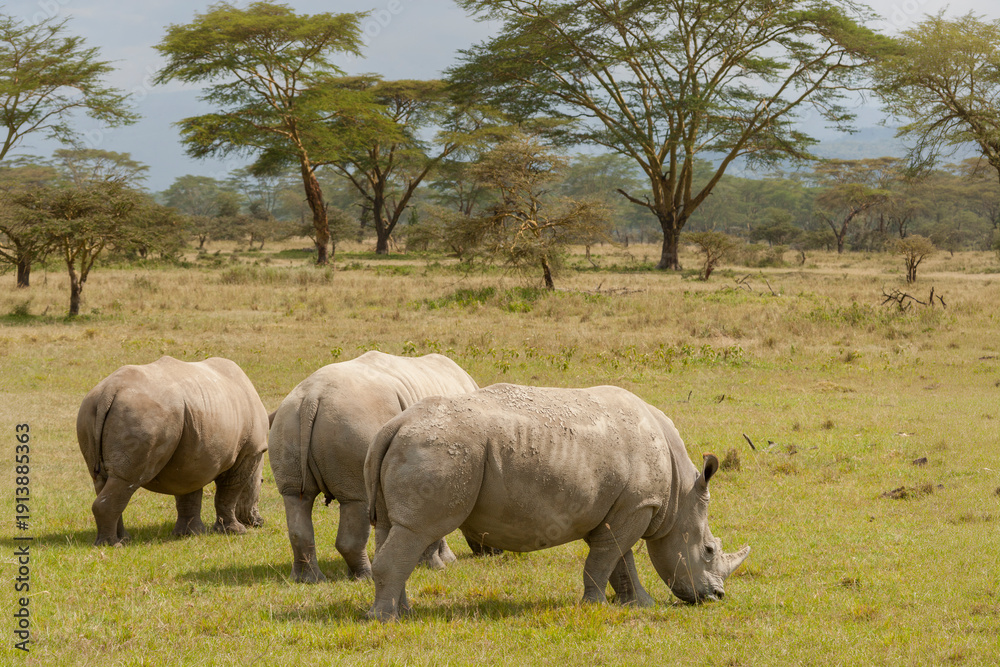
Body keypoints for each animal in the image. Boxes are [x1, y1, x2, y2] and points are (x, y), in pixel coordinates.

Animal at [77, 356, 269, 546]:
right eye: (262, 481)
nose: (259, 522)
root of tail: (108, 391)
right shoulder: (251, 451)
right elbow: (229, 491)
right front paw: (235, 531)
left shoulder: (195, 452)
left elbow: (188, 491)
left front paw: (190, 533)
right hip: (144, 416)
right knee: (126, 479)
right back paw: (112, 545)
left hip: (90, 409)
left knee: (102, 479)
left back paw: (123, 539)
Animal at [268, 351, 482, 583]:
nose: (486, 551)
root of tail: (312, 397)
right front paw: (444, 562)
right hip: (352, 422)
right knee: (357, 498)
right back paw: (366, 576)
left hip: (288, 421)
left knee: (297, 498)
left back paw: (309, 580)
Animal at [365, 383, 750, 620]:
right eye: (709, 551)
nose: (717, 596)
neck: (681, 493)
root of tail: (397, 423)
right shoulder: (639, 505)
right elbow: (605, 559)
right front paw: (595, 607)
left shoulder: (629, 507)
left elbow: (621, 560)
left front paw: (640, 605)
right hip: (442, 449)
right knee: (417, 530)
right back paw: (385, 620)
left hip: (420, 446)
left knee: (393, 528)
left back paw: (400, 613)